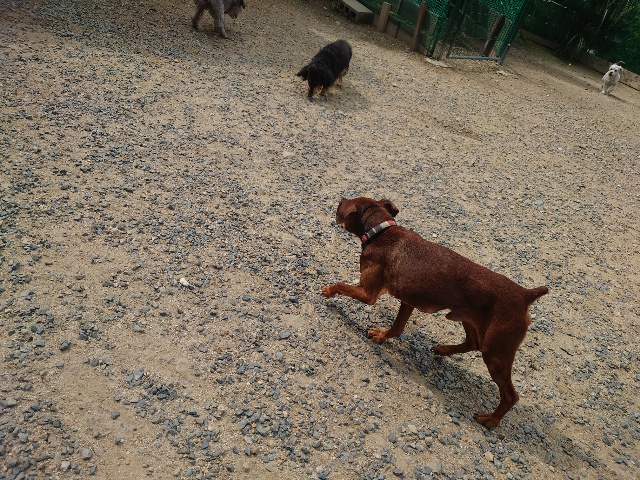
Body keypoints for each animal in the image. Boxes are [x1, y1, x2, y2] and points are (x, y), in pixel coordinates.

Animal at [322, 197, 548, 428]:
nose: (340, 199)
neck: (381, 230)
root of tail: (525, 295)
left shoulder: (369, 294)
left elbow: (340, 285)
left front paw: (328, 291)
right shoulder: (408, 301)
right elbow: (397, 327)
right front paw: (382, 336)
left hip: (496, 353)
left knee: (511, 395)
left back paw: (491, 420)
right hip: (468, 320)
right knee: (472, 343)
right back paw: (444, 350)